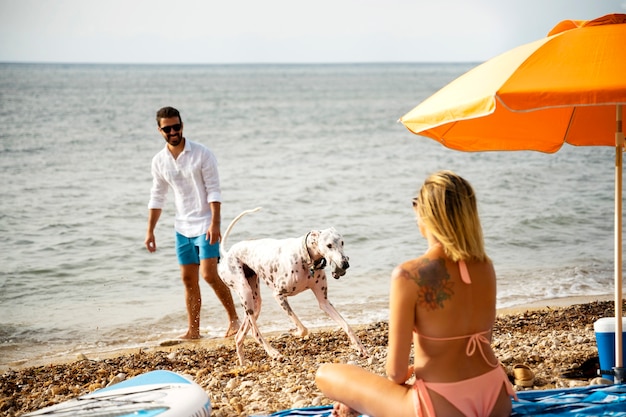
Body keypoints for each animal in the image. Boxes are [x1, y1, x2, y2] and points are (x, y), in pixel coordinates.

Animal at [218, 206, 368, 362]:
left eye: (342, 242)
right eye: (329, 245)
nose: (345, 264)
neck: (305, 256)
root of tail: (227, 253)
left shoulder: (324, 302)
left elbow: (346, 325)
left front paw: (360, 347)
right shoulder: (278, 295)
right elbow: (302, 328)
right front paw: (293, 332)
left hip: (254, 301)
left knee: (240, 335)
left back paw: (243, 362)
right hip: (245, 291)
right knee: (255, 331)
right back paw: (273, 352)